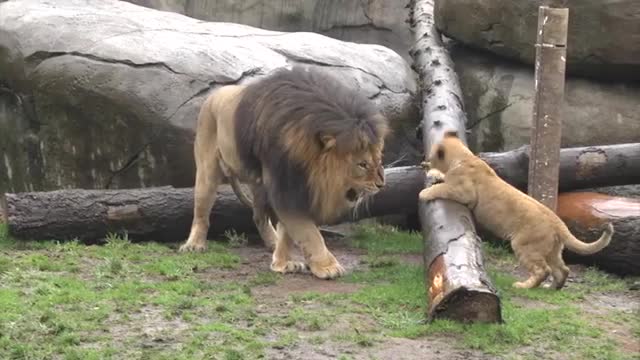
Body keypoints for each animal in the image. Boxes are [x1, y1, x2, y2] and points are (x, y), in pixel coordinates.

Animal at [179, 66, 390, 280]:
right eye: (362, 164)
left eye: (379, 159)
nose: (381, 184)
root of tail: (214, 95)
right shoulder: (285, 186)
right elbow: (309, 232)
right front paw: (327, 266)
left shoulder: (297, 188)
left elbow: (288, 230)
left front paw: (282, 263)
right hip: (207, 170)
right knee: (201, 212)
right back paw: (194, 245)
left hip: (257, 184)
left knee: (259, 216)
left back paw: (271, 242)